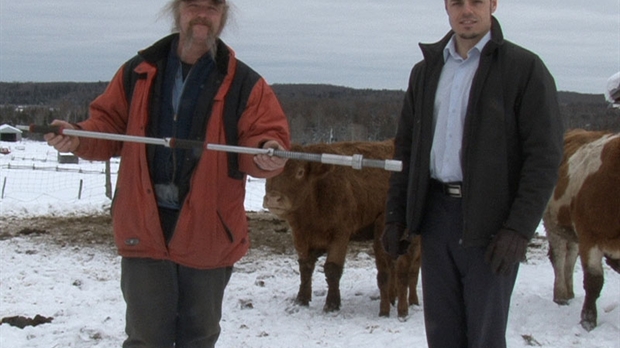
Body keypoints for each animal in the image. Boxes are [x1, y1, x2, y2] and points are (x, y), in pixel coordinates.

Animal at [262, 139, 422, 318]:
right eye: (270, 173)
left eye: (300, 172)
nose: (273, 198)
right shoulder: (300, 235)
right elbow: (305, 266)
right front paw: (301, 299)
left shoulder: (340, 234)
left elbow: (332, 269)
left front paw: (332, 304)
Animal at [544, 128, 616, 332]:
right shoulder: (590, 236)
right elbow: (594, 281)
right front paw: (588, 320)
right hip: (554, 225)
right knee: (559, 257)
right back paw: (560, 294)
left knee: (570, 258)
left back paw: (569, 292)